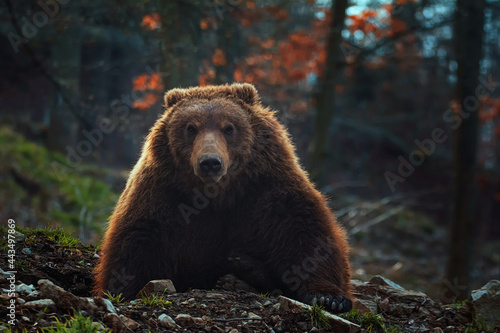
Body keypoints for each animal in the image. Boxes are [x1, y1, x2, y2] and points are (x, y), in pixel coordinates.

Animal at [93, 82, 352, 312]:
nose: (210, 162)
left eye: (229, 128)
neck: (217, 194)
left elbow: (305, 232)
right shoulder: (162, 194)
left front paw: (330, 298)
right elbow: (138, 238)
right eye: (191, 128)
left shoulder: (268, 187)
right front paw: (123, 287)